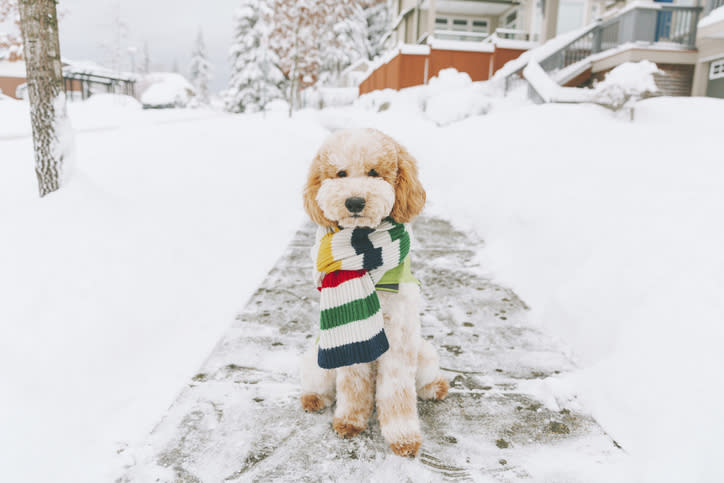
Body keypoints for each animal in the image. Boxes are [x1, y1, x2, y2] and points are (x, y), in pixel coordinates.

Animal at [298, 127, 446, 458]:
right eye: (340, 173)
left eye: (374, 173)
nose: (354, 202)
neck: (362, 246)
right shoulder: (352, 338)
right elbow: (352, 385)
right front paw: (350, 422)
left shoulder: (400, 338)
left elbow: (398, 393)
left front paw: (403, 437)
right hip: (319, 356)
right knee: (321, 382)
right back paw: (314, 397)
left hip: (424, 353)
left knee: (423, 380)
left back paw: (435, 388)